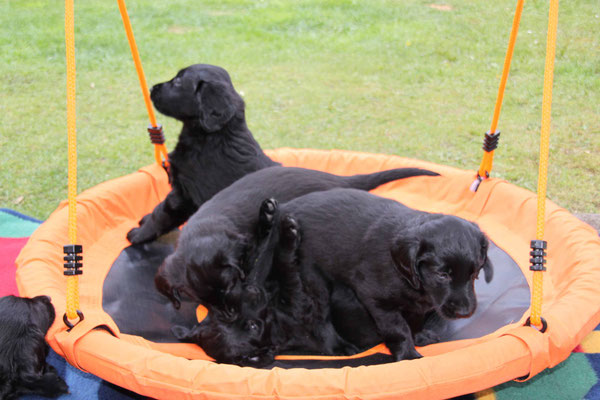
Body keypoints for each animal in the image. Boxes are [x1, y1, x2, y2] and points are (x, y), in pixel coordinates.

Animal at [127, 64, 278, 245]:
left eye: (178, 81)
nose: (151, 88)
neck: (212, 137)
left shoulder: (183, 194)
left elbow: (162, 212)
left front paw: (138, 234)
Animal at [185, 188, 493, 365]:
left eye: (475, 271)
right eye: (442, 274)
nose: (465, 312)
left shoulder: (418, 304)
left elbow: (413, 323)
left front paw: (421, 337)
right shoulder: (376, 299)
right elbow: (397, 328)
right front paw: (407, 354)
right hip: (315, 282)